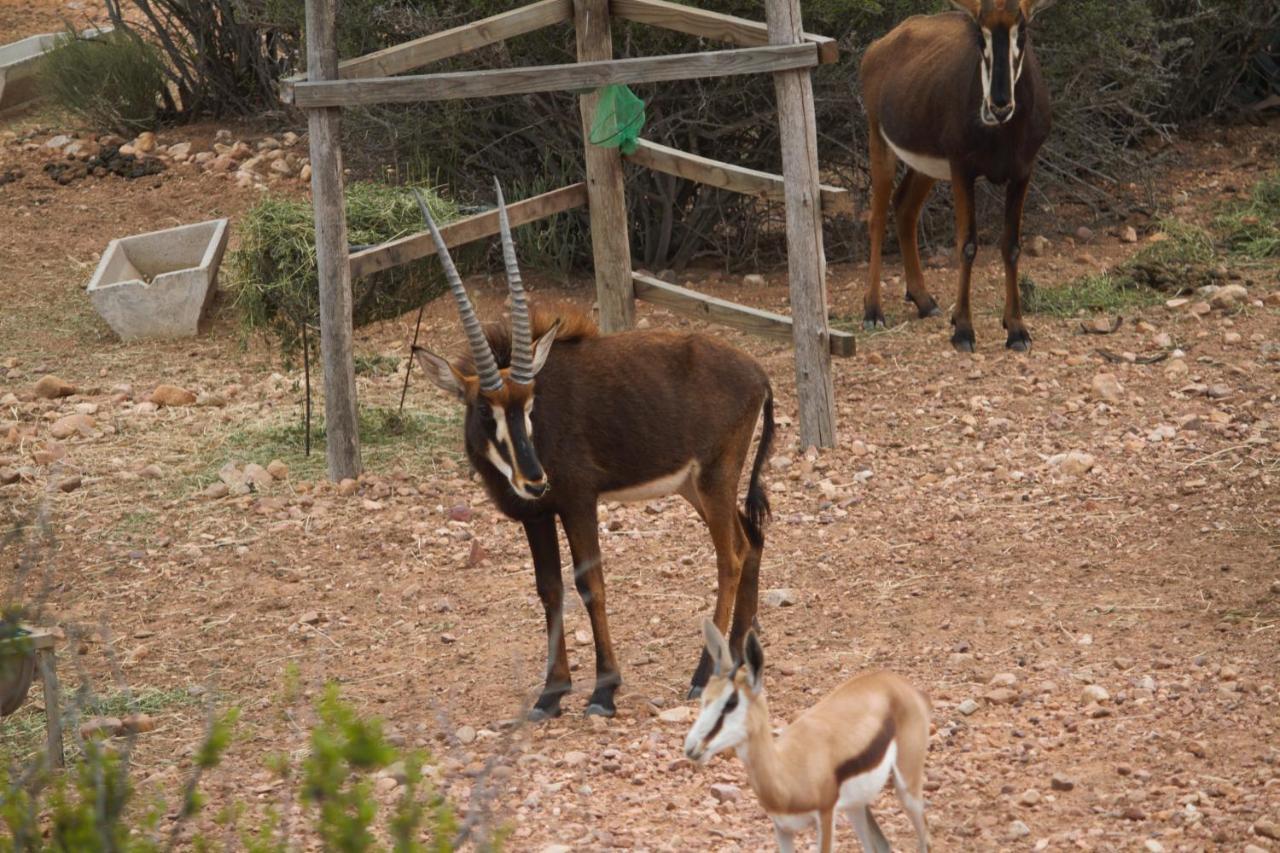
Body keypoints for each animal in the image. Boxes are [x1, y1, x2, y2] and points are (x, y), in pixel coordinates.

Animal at [414, 180, 773, 717]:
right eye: (483, 410)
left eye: (531, 403)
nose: (534, 479)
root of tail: (758, 374)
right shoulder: (537, 515)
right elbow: (549, 589)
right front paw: (552, 691)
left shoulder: (579, 502)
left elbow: (591, 584)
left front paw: (604, 689)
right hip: (696, 486)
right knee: (750, 541)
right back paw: (734, 660)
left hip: (715, 478)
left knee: (730, 556)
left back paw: (702, 674)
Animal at [686, 617, 936, 850]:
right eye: (704, 697)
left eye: (731, 702)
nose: (691, 747)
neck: (786, 772)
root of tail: (900, 684)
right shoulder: (782, 827)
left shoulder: (825, 816)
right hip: (856, 807)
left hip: (907, 788)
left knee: (925, 838)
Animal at [860, 0, 1059, 350]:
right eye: (980, 35)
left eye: (1022, 31)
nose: (998, 106)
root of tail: (878, 46)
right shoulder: (963, 169)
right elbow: (967, 244)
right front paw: (964, 330)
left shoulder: (1022, 172)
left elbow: (1011, 245)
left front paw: (1016, 329)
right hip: (879, 139)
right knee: (878, 217)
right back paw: (873, 311)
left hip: (927, 165)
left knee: (905, 207)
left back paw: (924, 301)